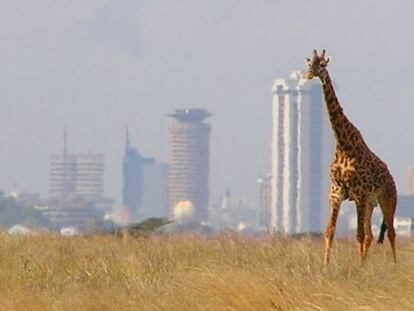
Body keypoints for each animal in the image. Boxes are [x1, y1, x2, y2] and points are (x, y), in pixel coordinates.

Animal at [304, 49, 398, 266]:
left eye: (323, 65)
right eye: (309, 64)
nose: (309, 75)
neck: (343, 146)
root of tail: (391, 178)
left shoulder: (359, 193)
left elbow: (359, 235)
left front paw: (359, 268)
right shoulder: (336, 193)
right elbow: (329, 232)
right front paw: (325, 266)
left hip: (387, 199)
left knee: (390, 232)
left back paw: (395, 265)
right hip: (371, 203)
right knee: (372, 235)